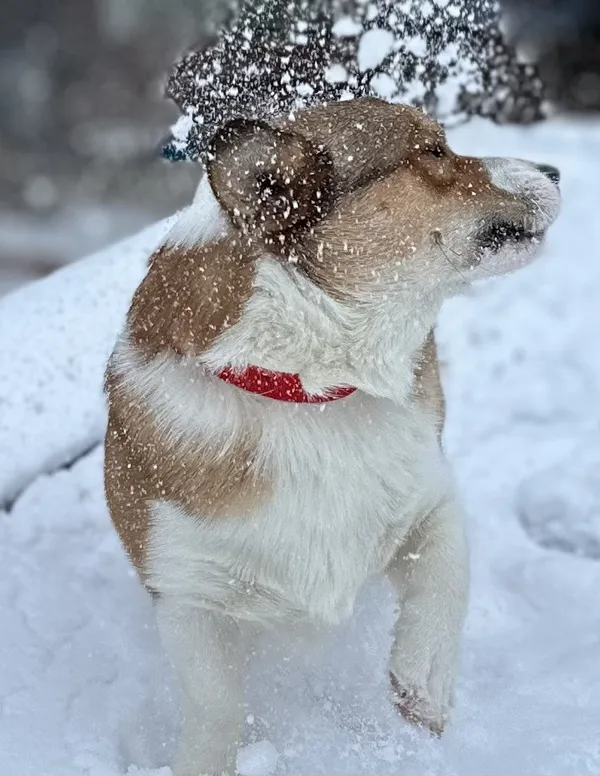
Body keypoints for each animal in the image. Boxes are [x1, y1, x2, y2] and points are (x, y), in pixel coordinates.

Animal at [104, 98, 564, 776]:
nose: (555, 171)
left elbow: (445, 585)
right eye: (433, 152)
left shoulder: (432, 499)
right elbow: (214, 705)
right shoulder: (187, 592)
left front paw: (422, 688)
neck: (308, 390)